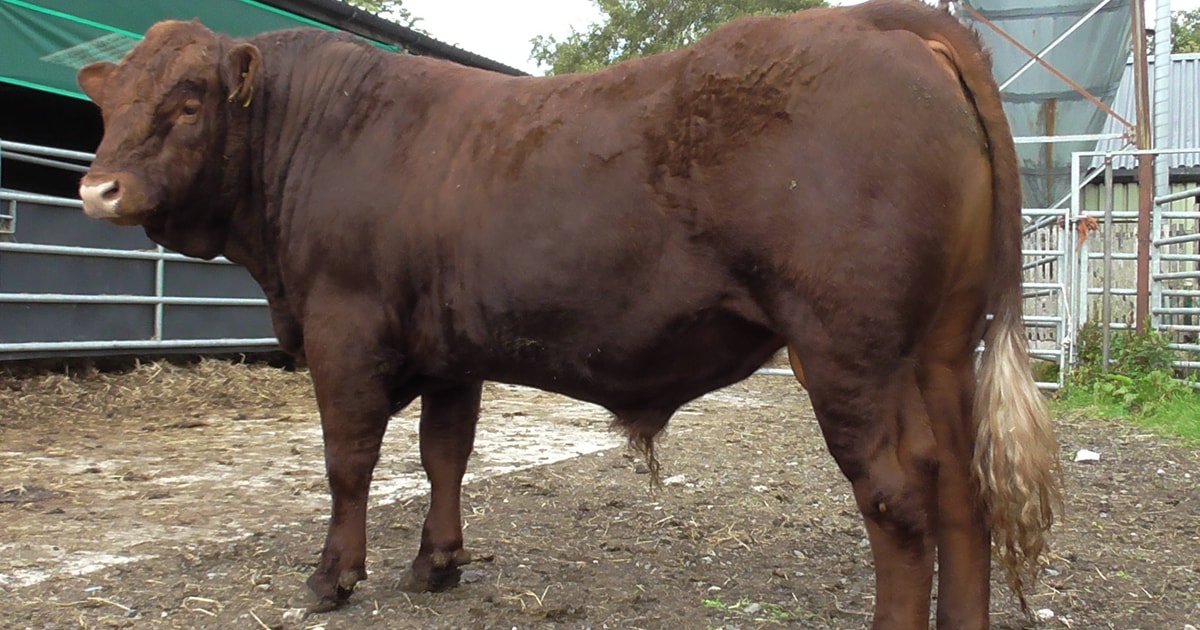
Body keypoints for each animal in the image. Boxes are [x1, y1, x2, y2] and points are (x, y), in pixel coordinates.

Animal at [76, 1, 1060, 627]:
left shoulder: (342, 330)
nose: (96, 189)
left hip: (847, 346)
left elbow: (348, 462)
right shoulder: (451, 350)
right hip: (941, 348)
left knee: (900, 496)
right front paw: (437, 564)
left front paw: (333, 578)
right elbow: (444, 455)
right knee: (964, 492)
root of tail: (879, 20)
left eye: (187, 101)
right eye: (108, 101)